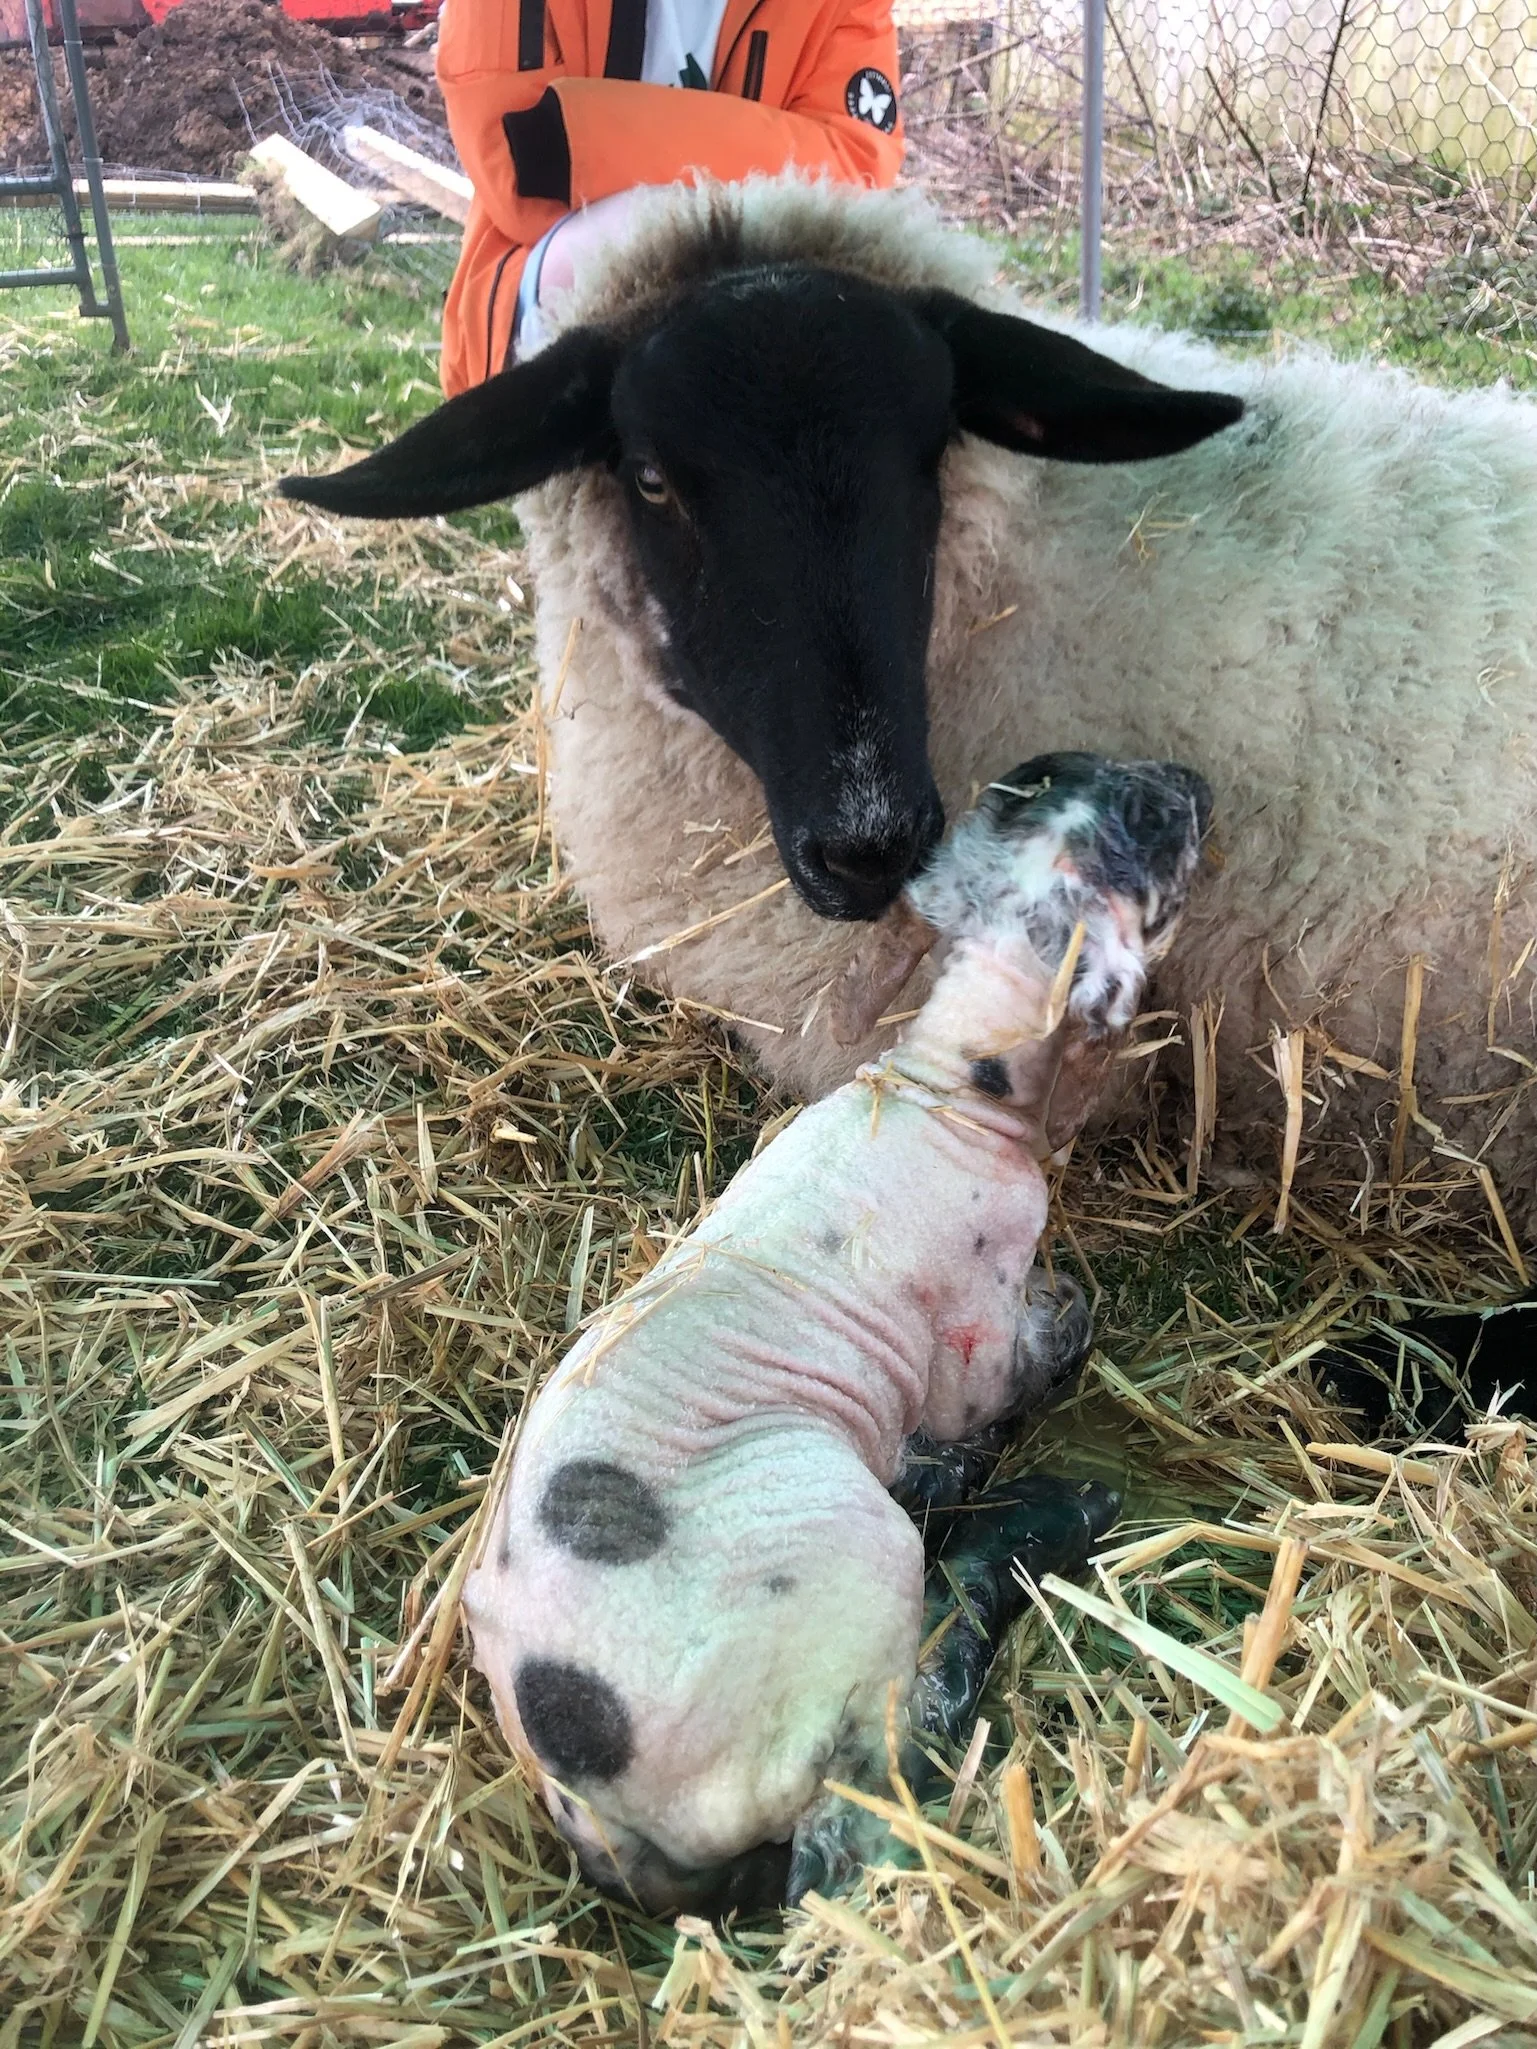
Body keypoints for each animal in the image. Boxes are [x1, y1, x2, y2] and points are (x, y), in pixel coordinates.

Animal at [460, 751, 1210, 1917]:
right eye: (1147, 820)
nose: (1192, 776)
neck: (945, 1093)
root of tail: (602, 1816)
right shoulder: (974, 1336)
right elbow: (1043, 1348)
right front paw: (1041, 1365)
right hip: (837, 1571)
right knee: (862, 1804)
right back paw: (1034, 1522)